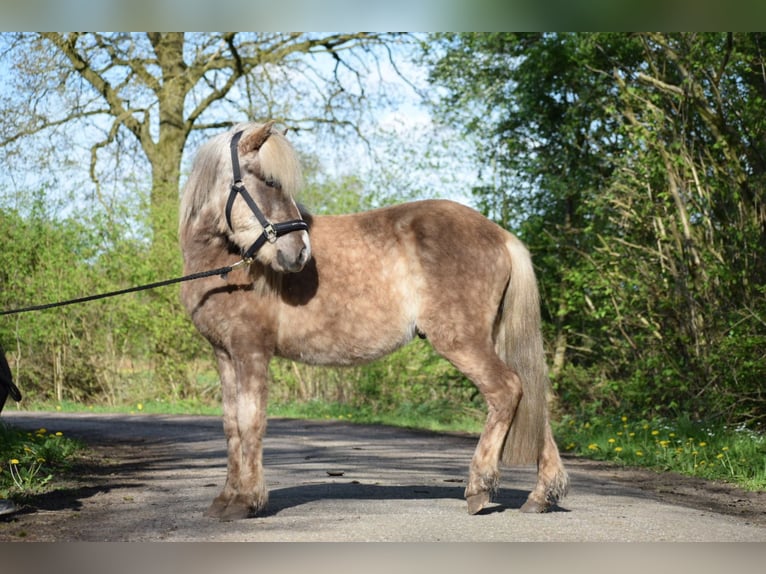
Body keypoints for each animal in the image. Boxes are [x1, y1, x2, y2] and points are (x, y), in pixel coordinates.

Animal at [177, 121, 568, 520]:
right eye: (269, 182)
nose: (299, 252)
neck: (226, 265)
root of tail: (501, 235)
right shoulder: (225, 354)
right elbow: (230, 425)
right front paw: (226, 499)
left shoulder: (251, 349)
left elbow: (250, 421)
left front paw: (247, 501)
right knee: (532, 400)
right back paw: (541, 496)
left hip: (462, 341)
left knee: (507, 390)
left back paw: (480, 487)